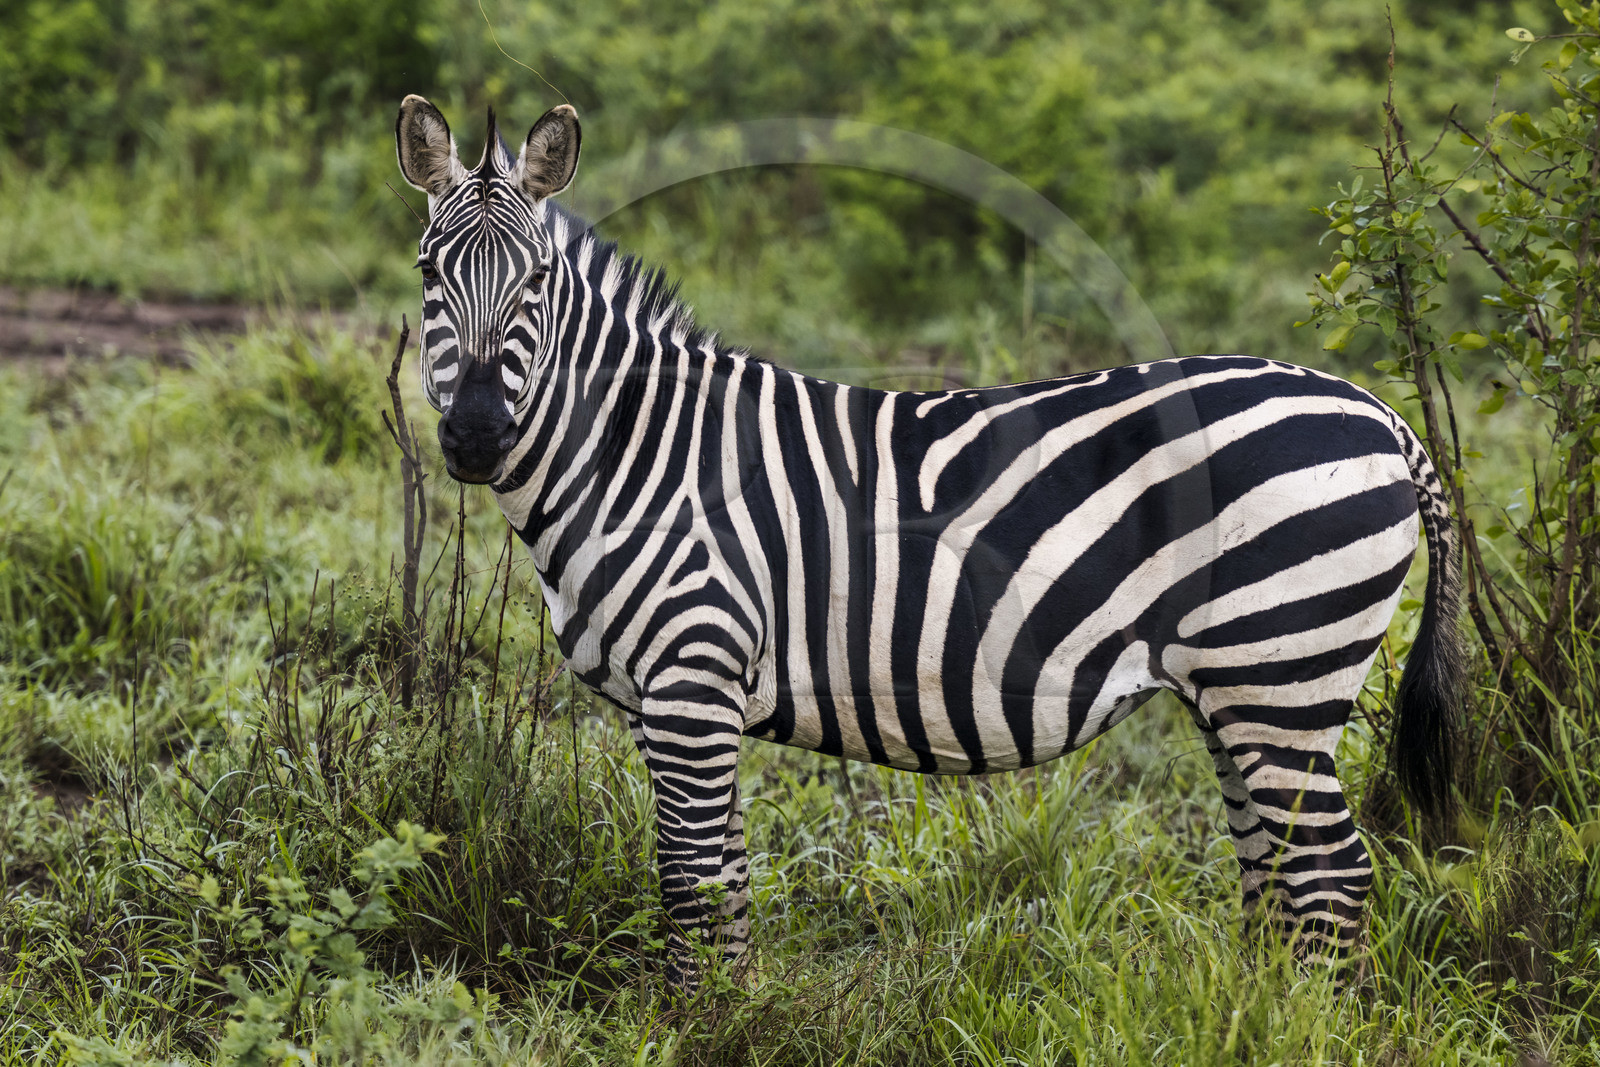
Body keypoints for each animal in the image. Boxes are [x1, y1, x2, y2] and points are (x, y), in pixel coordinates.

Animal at [394, 96, 1462, 987]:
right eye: (428, 272)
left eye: (538, 280)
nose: (477, 435)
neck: (640, 452)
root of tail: (1380, 413)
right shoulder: (687, 700)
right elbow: (727, 880)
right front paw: (737, 1012)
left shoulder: (693, 677)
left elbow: (689, 879)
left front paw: (693, 1022)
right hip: (1238, 685)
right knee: (1271, 868)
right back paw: (1253, 1011)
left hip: (1281, 666)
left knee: (1329, 872)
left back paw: (1308, 1023)